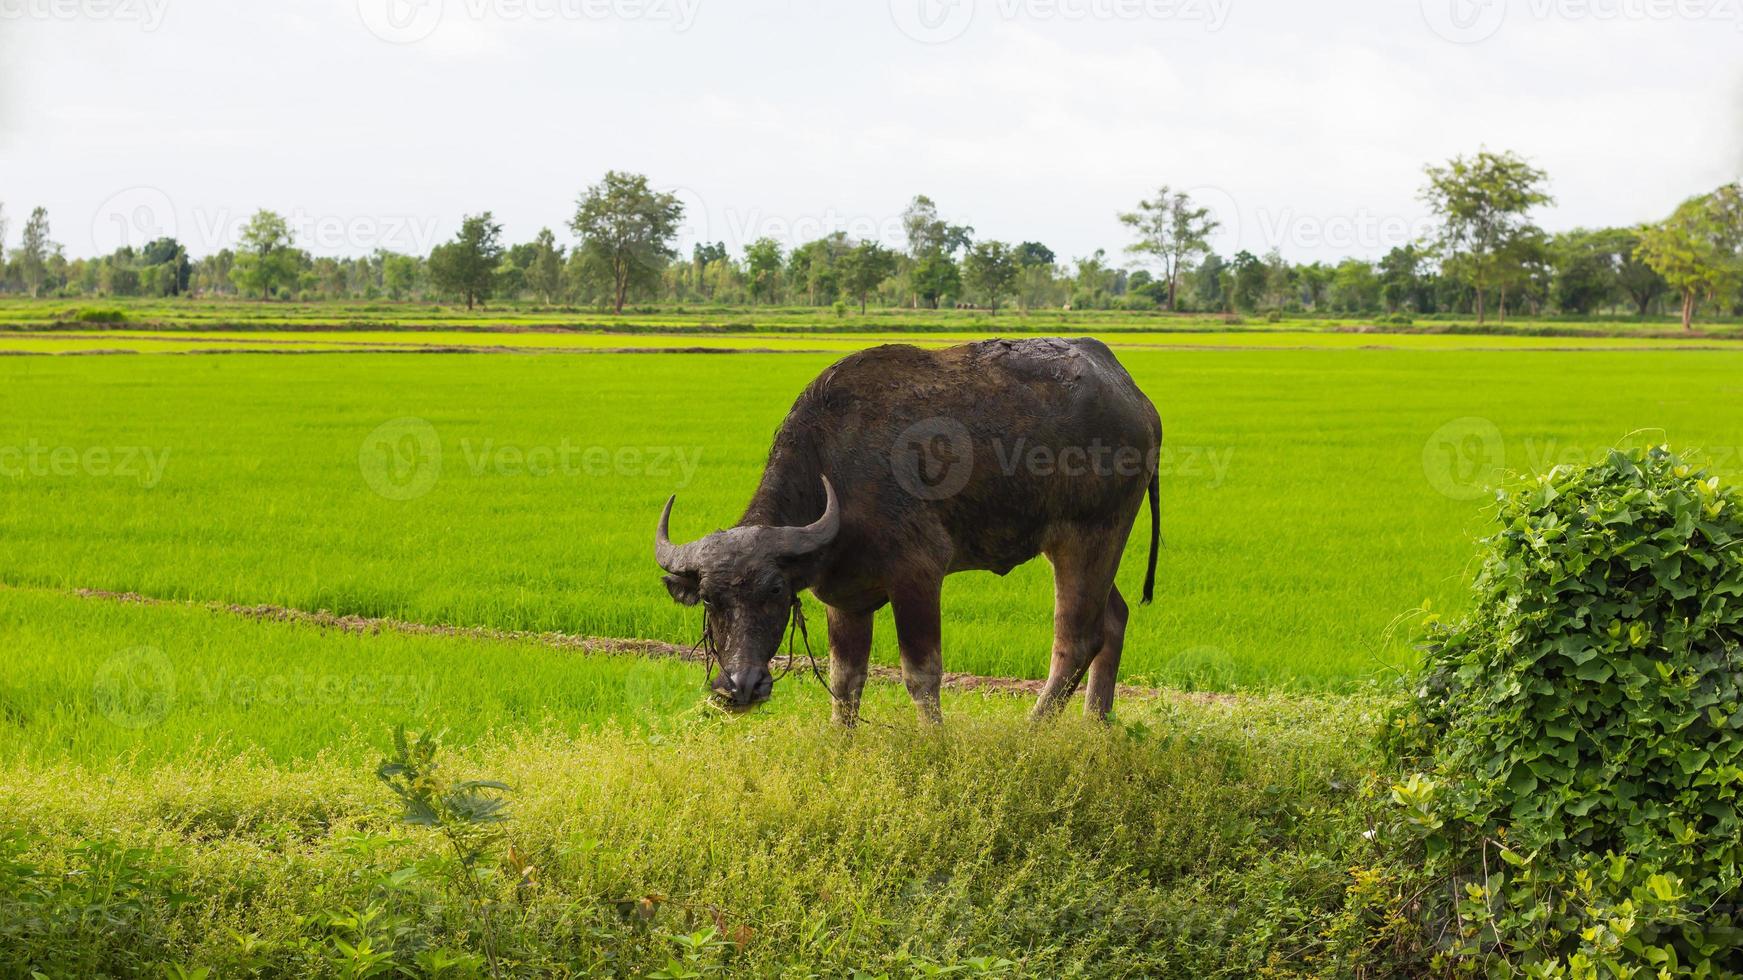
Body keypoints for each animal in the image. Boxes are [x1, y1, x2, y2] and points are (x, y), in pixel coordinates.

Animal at [655, 340, 1157, 721]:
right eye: (709, 600)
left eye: (775, 590)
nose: (740, 686)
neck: (836, 471)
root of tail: (1136, 398)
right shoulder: (846, 598)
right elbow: (845, 683)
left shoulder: (917, 576)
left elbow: (921, 676)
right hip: (1082, 546)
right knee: (1113, 618)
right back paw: (1096, 725)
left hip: (1091, 537)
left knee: (1076, 639)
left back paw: (1033, 731)